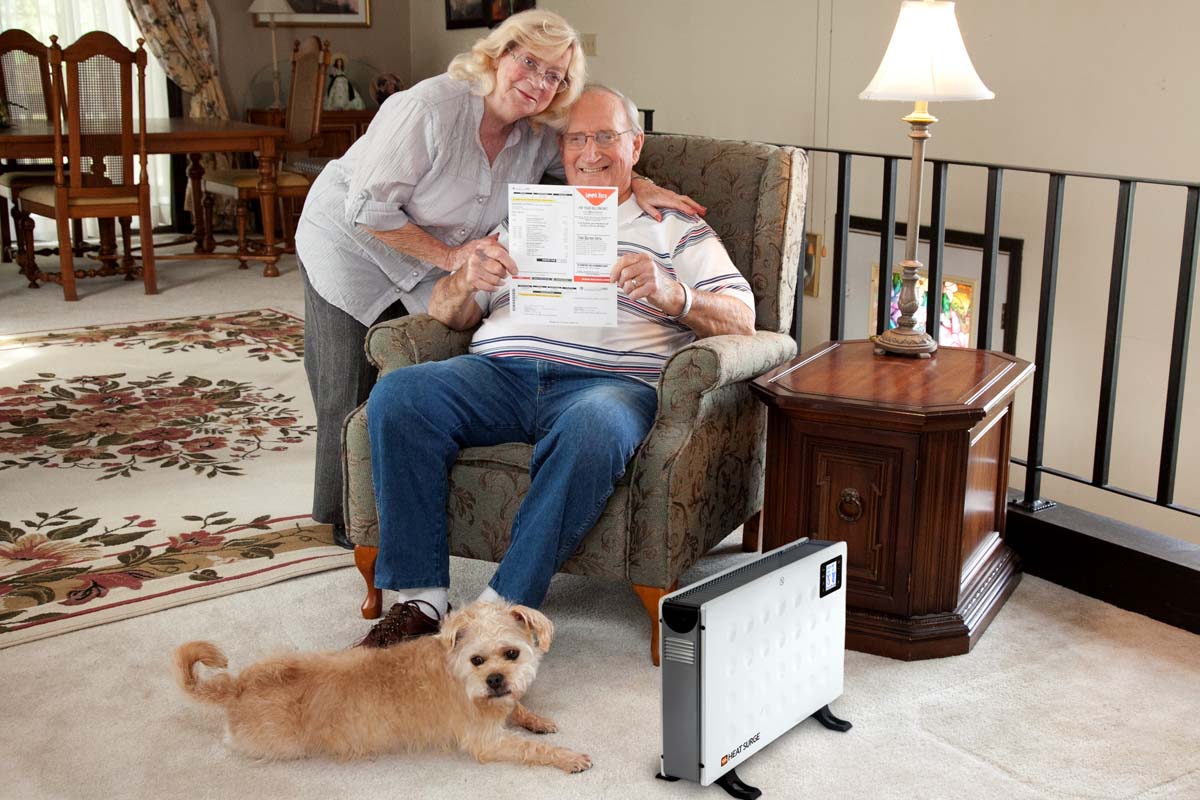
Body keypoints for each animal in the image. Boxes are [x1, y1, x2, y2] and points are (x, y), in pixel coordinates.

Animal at [172, 604, 590, 772]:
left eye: (511, 653)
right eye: (477, 660)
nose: (496, 680)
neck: (457, 672)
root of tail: (237, 686)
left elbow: (519, 709)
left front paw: (536, 718)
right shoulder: (486, 741)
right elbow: (531, 748)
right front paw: (568, 756)